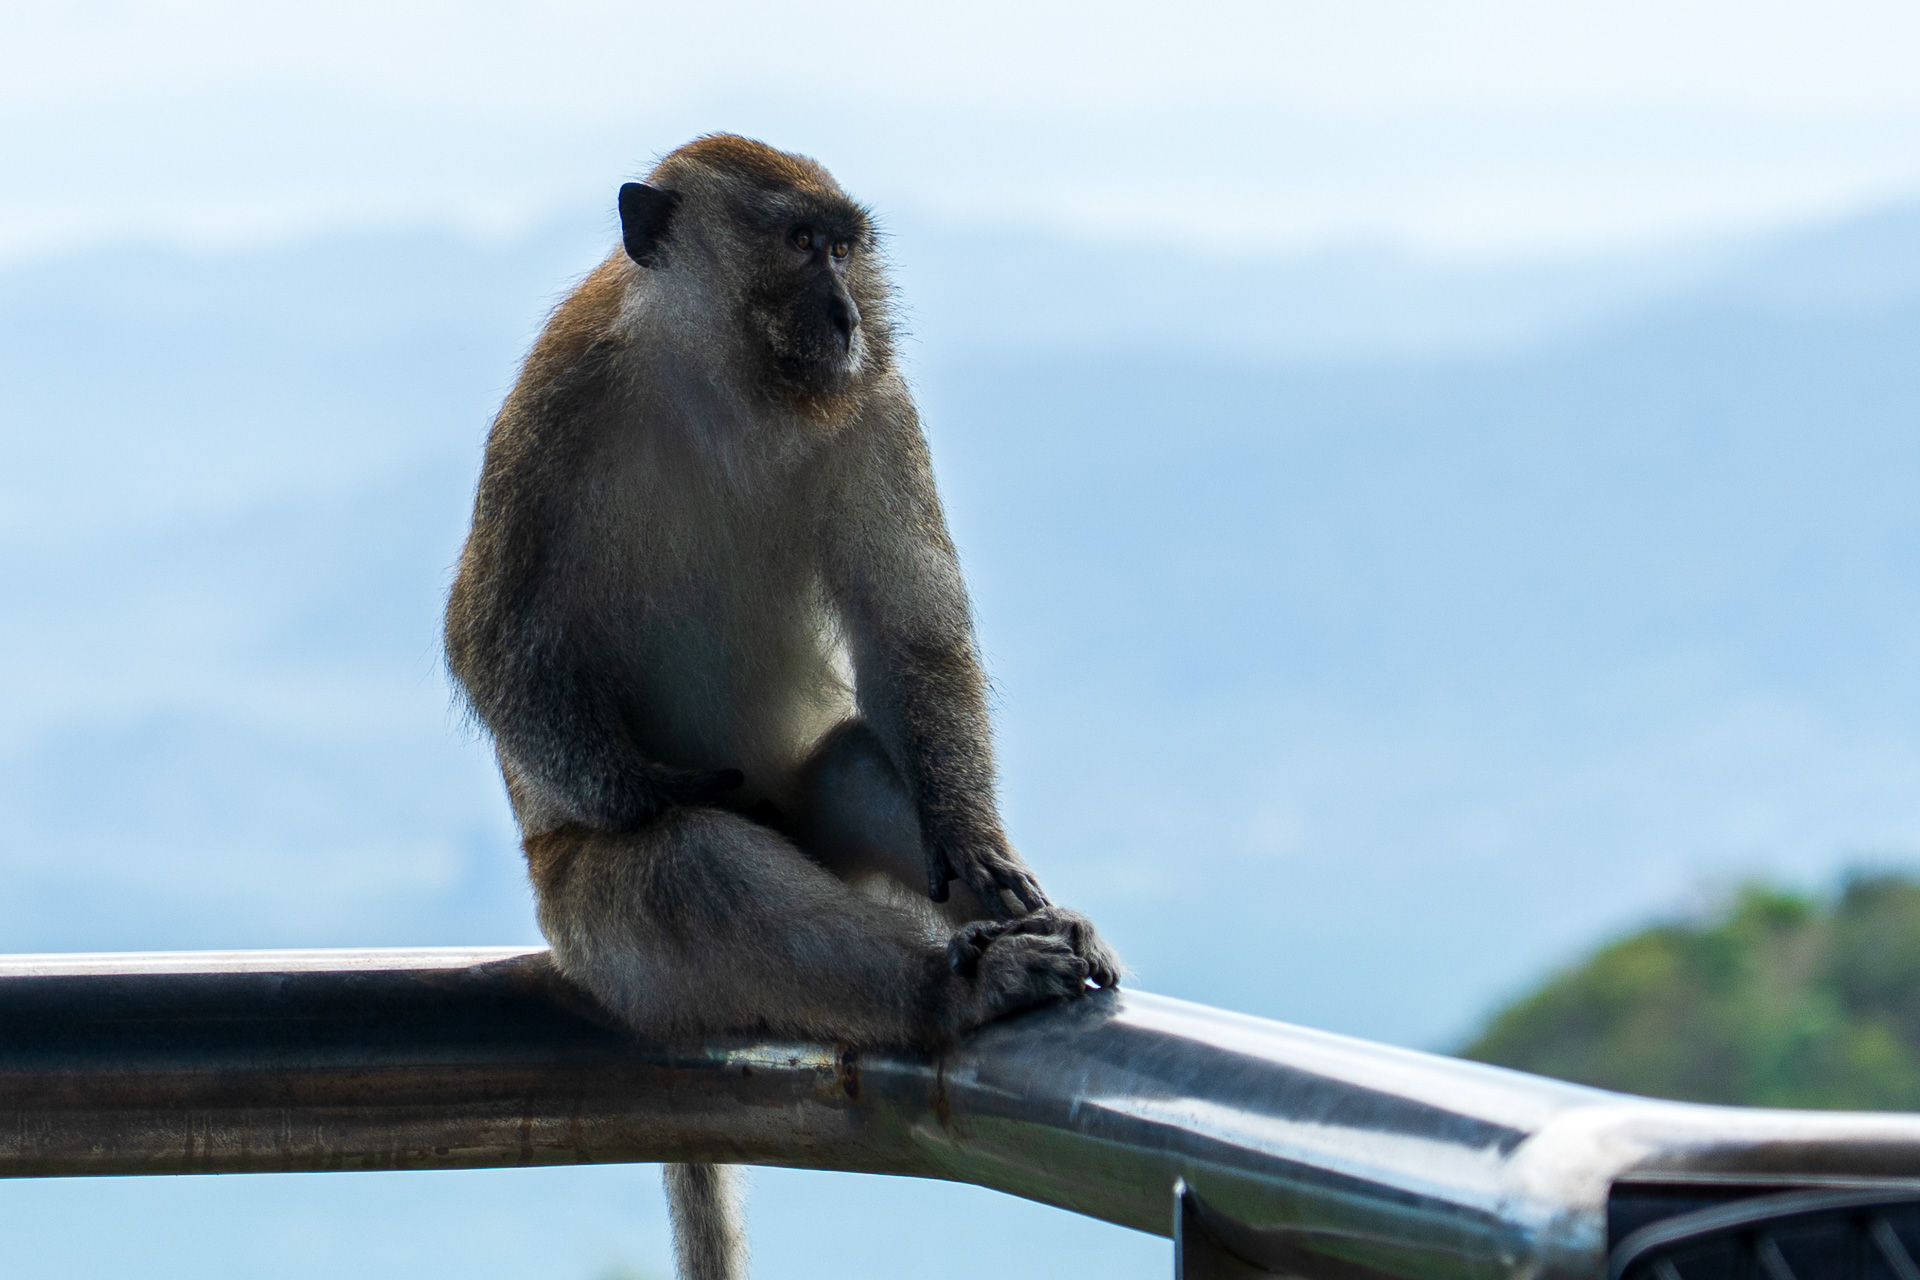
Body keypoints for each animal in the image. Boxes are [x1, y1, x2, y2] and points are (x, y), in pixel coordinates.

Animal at [443, 135, 1119, 1280]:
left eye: (844, 249)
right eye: (801, 243)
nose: (848, 315)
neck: (724, 382)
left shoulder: (877, 403)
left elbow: (906, 632)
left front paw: (981, 849)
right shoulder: (556, 400)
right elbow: (490, 644)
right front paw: (652, 789)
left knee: (852, 765)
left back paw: (1016, 926)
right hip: (586, 922)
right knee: (689, 867)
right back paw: (945, 986)